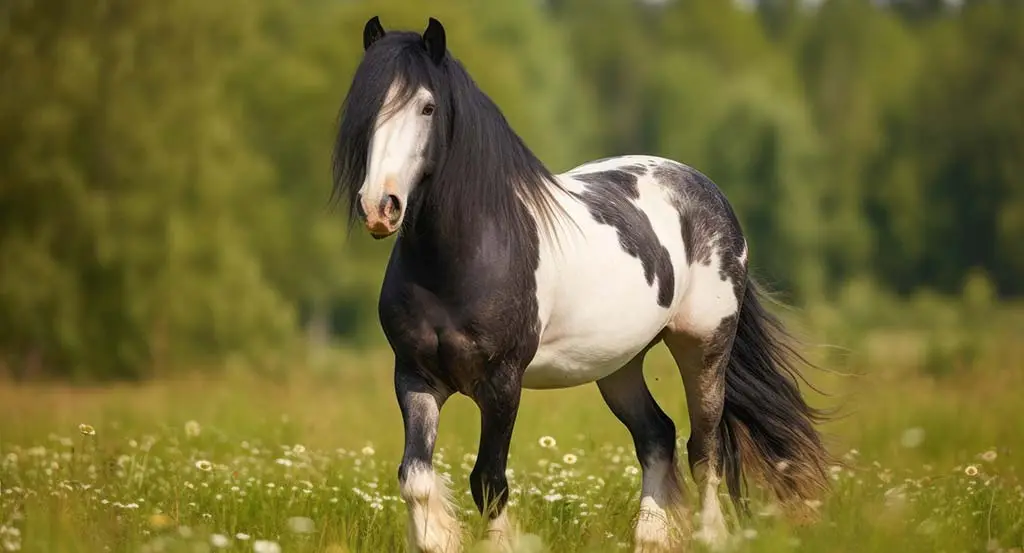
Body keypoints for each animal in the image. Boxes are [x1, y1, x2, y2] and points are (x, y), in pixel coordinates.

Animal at [331, 16, 827, 553]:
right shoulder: (415, 377)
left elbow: (489, 481)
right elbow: (416, 479)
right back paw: (650, 537)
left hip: (704, 347)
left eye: (427, 106)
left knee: (705, 448)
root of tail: (707, 190)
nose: (380, 207)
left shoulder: (502, 383)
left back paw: (709, 535)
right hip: (620, 364)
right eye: (365, 106)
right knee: (657, 435)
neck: (463, 259)